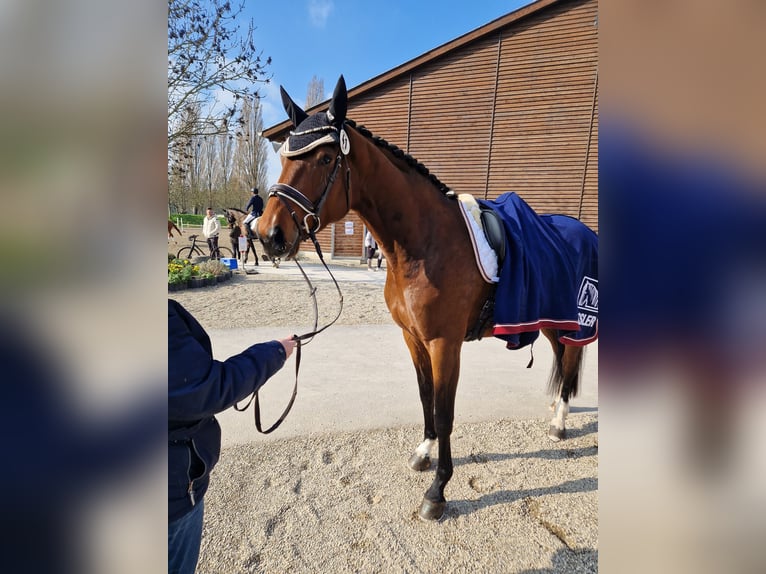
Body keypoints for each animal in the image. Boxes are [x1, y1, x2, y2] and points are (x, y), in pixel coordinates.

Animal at [260, 76, 600, 520]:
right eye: (285, 157)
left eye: (325, 157)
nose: (268, 234)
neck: (424, 243)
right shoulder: (414, 339)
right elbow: (426, 400)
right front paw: (424, 452)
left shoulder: (444, 344)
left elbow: (444, 411)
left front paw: (437, 491)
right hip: (549, 321)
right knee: (562, 359)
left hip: (573, 322)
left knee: (571, 357)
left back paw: (559, 423)